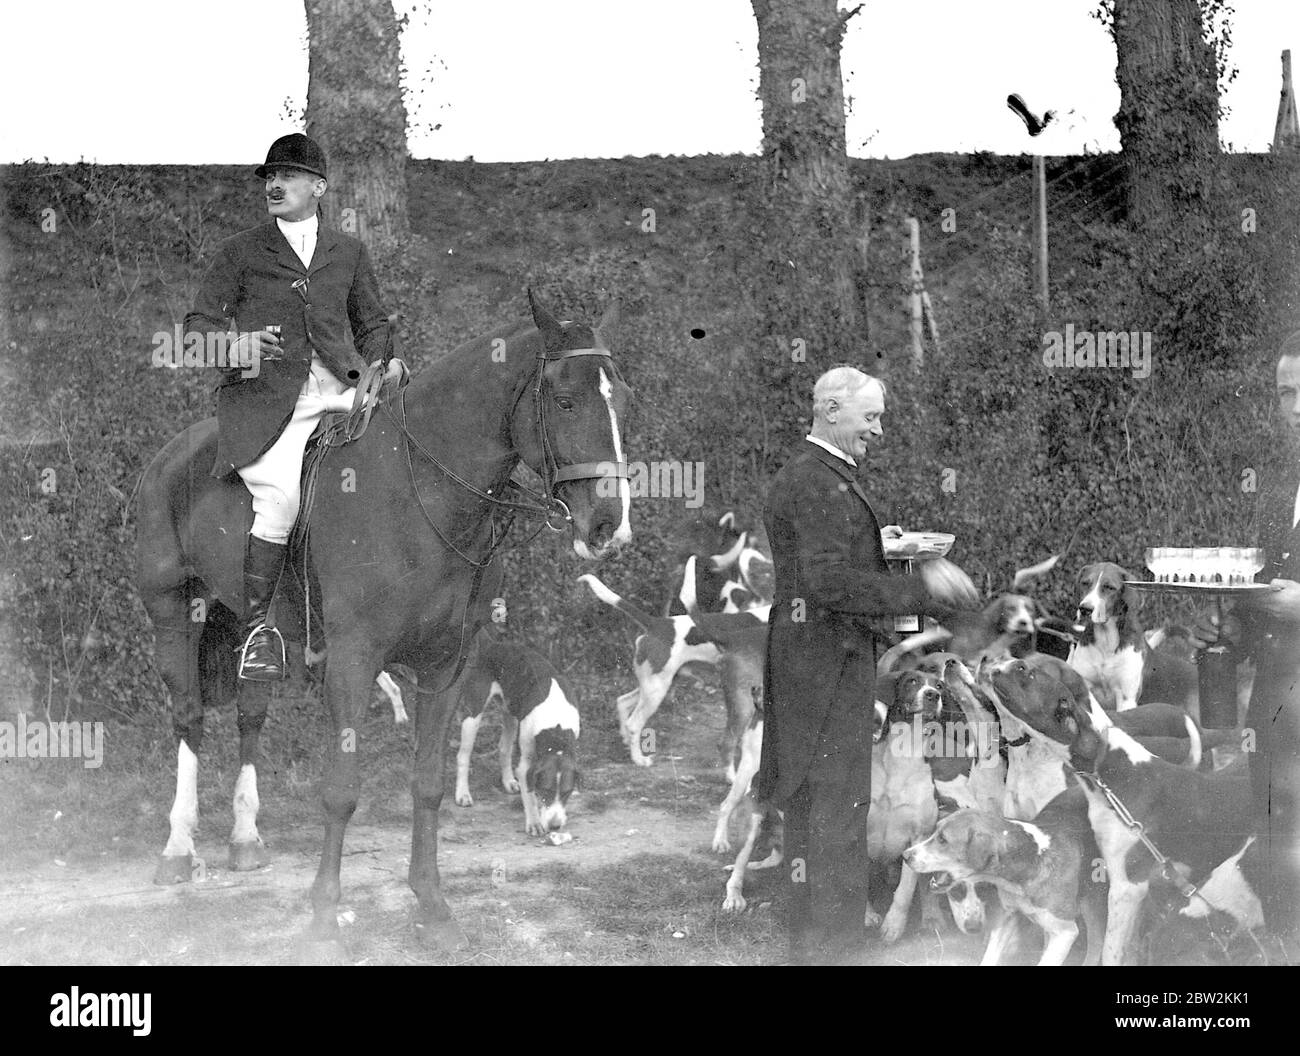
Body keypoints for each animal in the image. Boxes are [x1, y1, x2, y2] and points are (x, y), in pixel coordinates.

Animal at [134, 292, 631, 951]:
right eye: (567, 400)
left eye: (623, 401)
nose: (608, 524)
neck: (424, 494)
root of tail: (176, 451)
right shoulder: (354, 660)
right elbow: (342, 790)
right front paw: (324, 914)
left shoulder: (446, 666)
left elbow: (427, 784)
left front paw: (434, 908)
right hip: (174, 614)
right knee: (188, 717)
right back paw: (177, 847)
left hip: (247, 625)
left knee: (249, 715)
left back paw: (244, 839)